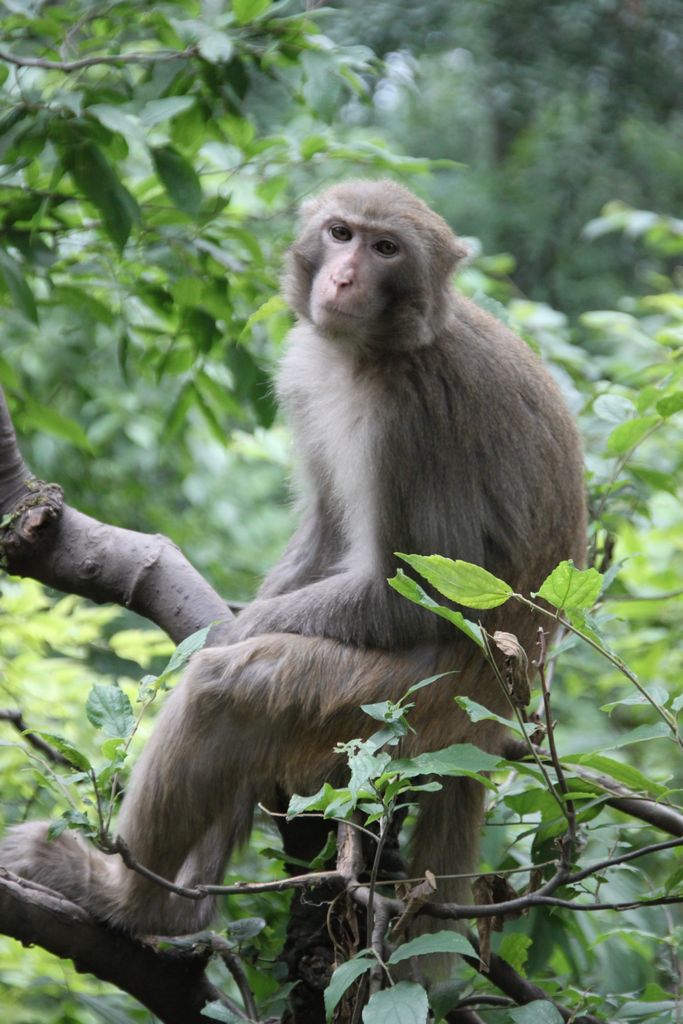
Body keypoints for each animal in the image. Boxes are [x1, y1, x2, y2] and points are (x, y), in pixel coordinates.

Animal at [1, 176, 589, 937]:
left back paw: (134, 900)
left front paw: (228, 632)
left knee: (232, 693)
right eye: (341, 234)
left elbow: (420, 594)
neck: (372, 351)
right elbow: (326, 536)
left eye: (385, 248)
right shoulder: (309, 372)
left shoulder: (411, 419)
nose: (342, 278)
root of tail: (503, 711)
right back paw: (185, 900)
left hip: (407, 709)